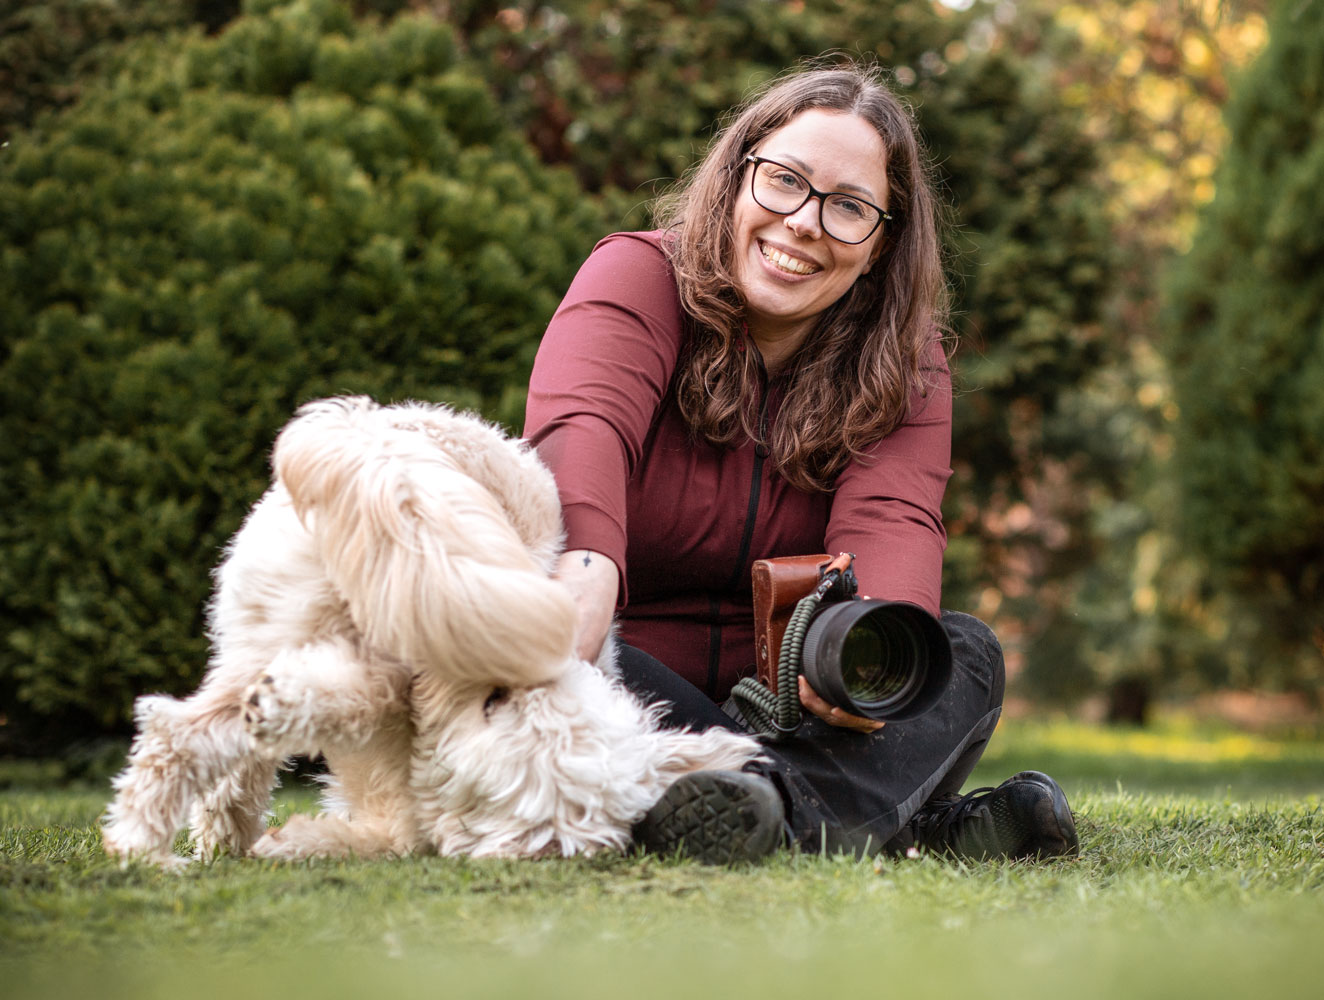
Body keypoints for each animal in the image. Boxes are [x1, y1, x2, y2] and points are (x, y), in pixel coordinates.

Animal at [103, 394, 762, 863]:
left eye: (493, 701)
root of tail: (390, 463)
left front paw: (290, 840)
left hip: (272, 625)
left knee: (189, 735)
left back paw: (163, 841)